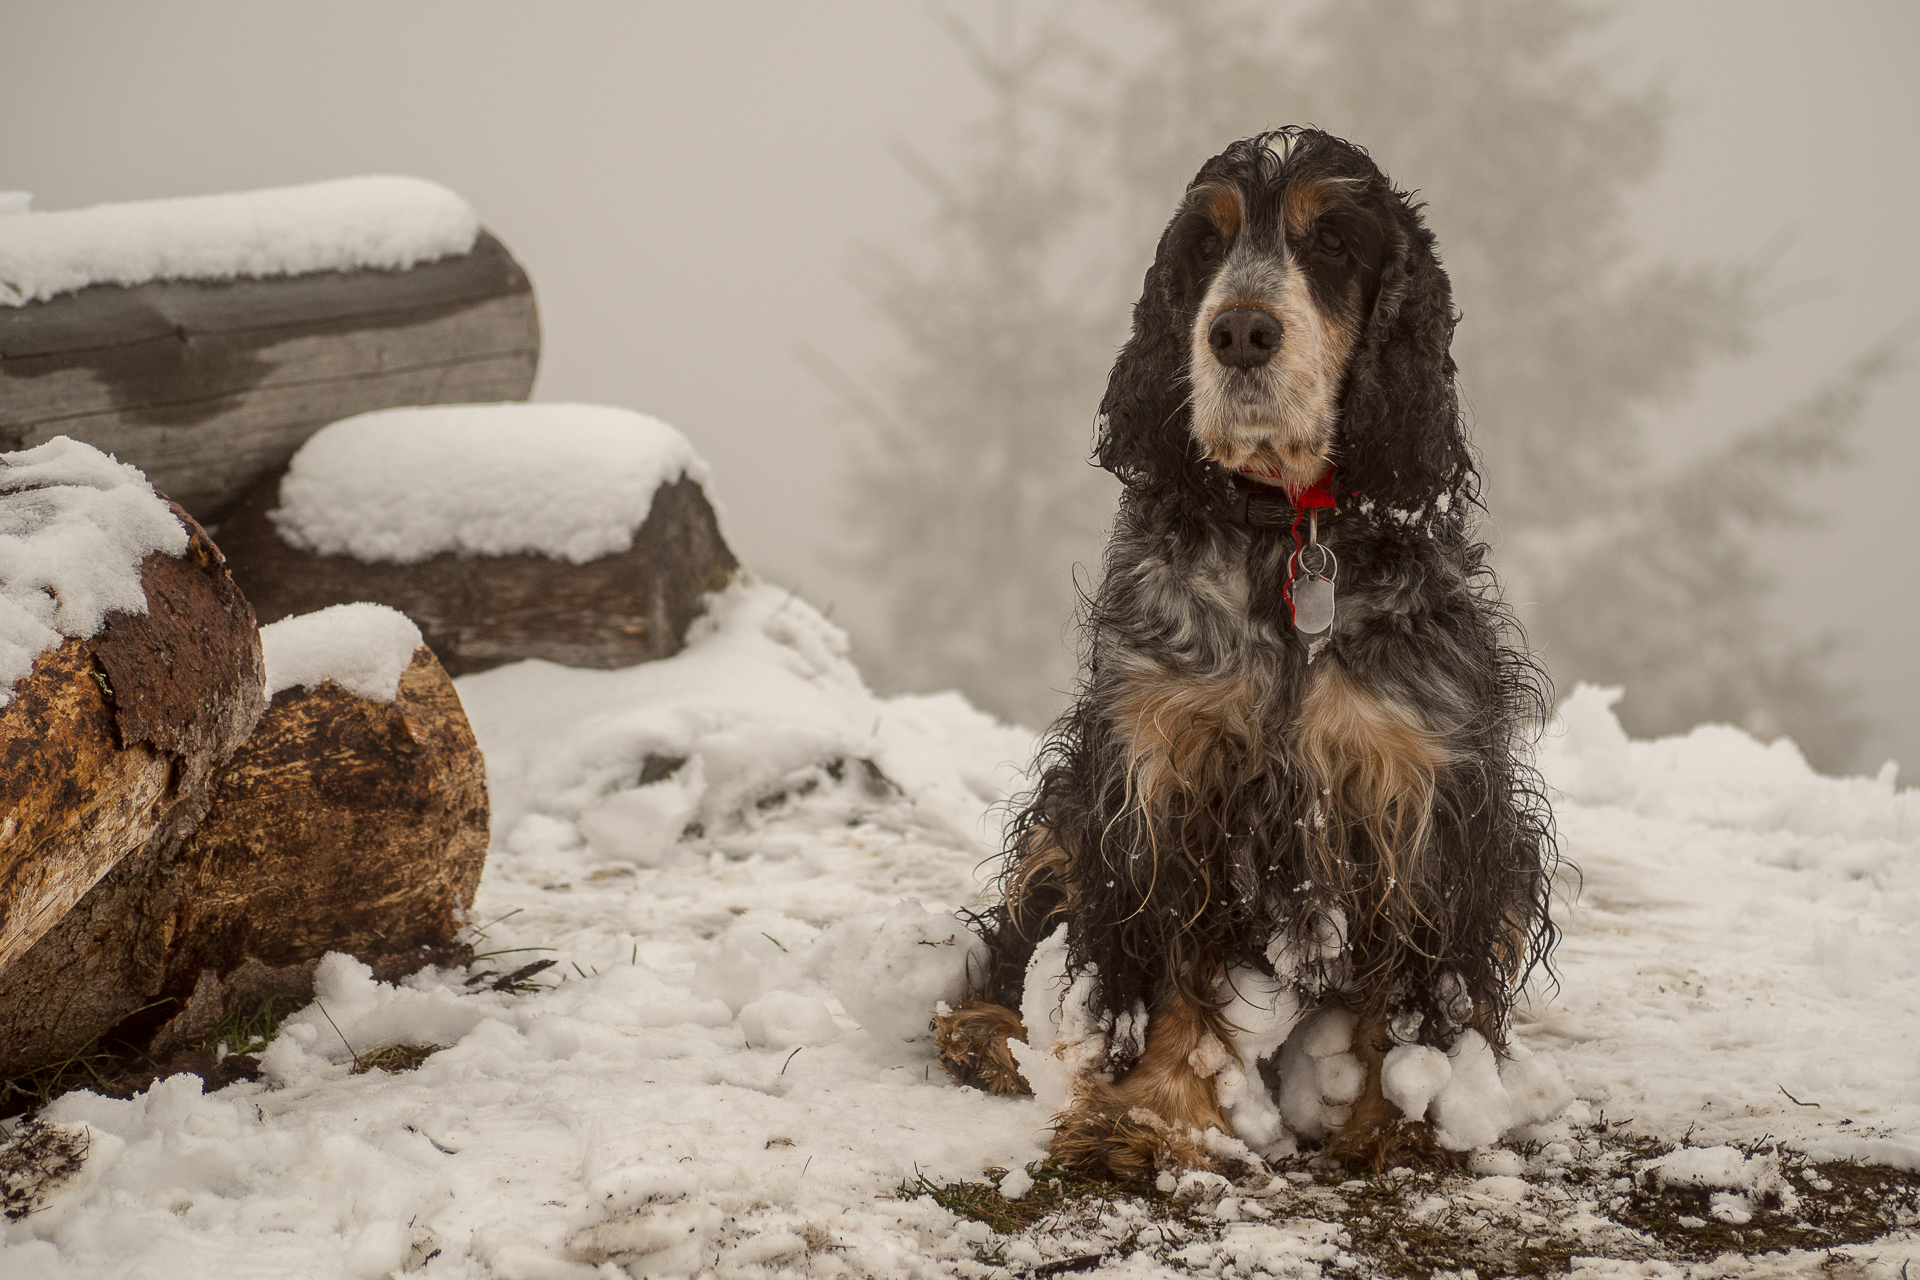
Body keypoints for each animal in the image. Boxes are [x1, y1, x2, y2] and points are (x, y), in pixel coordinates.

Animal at [936, 127, 1551, 1174]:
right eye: (1204, 245)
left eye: (1334, 242)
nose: (1240, 333)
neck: (1289, 532)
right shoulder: (1160, 773)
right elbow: (1164, 974)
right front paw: (1147, 1123)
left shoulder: (1422, 791)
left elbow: (1414, 1001)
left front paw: (1405, 1127)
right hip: (1066, 814)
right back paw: (982, 1036)